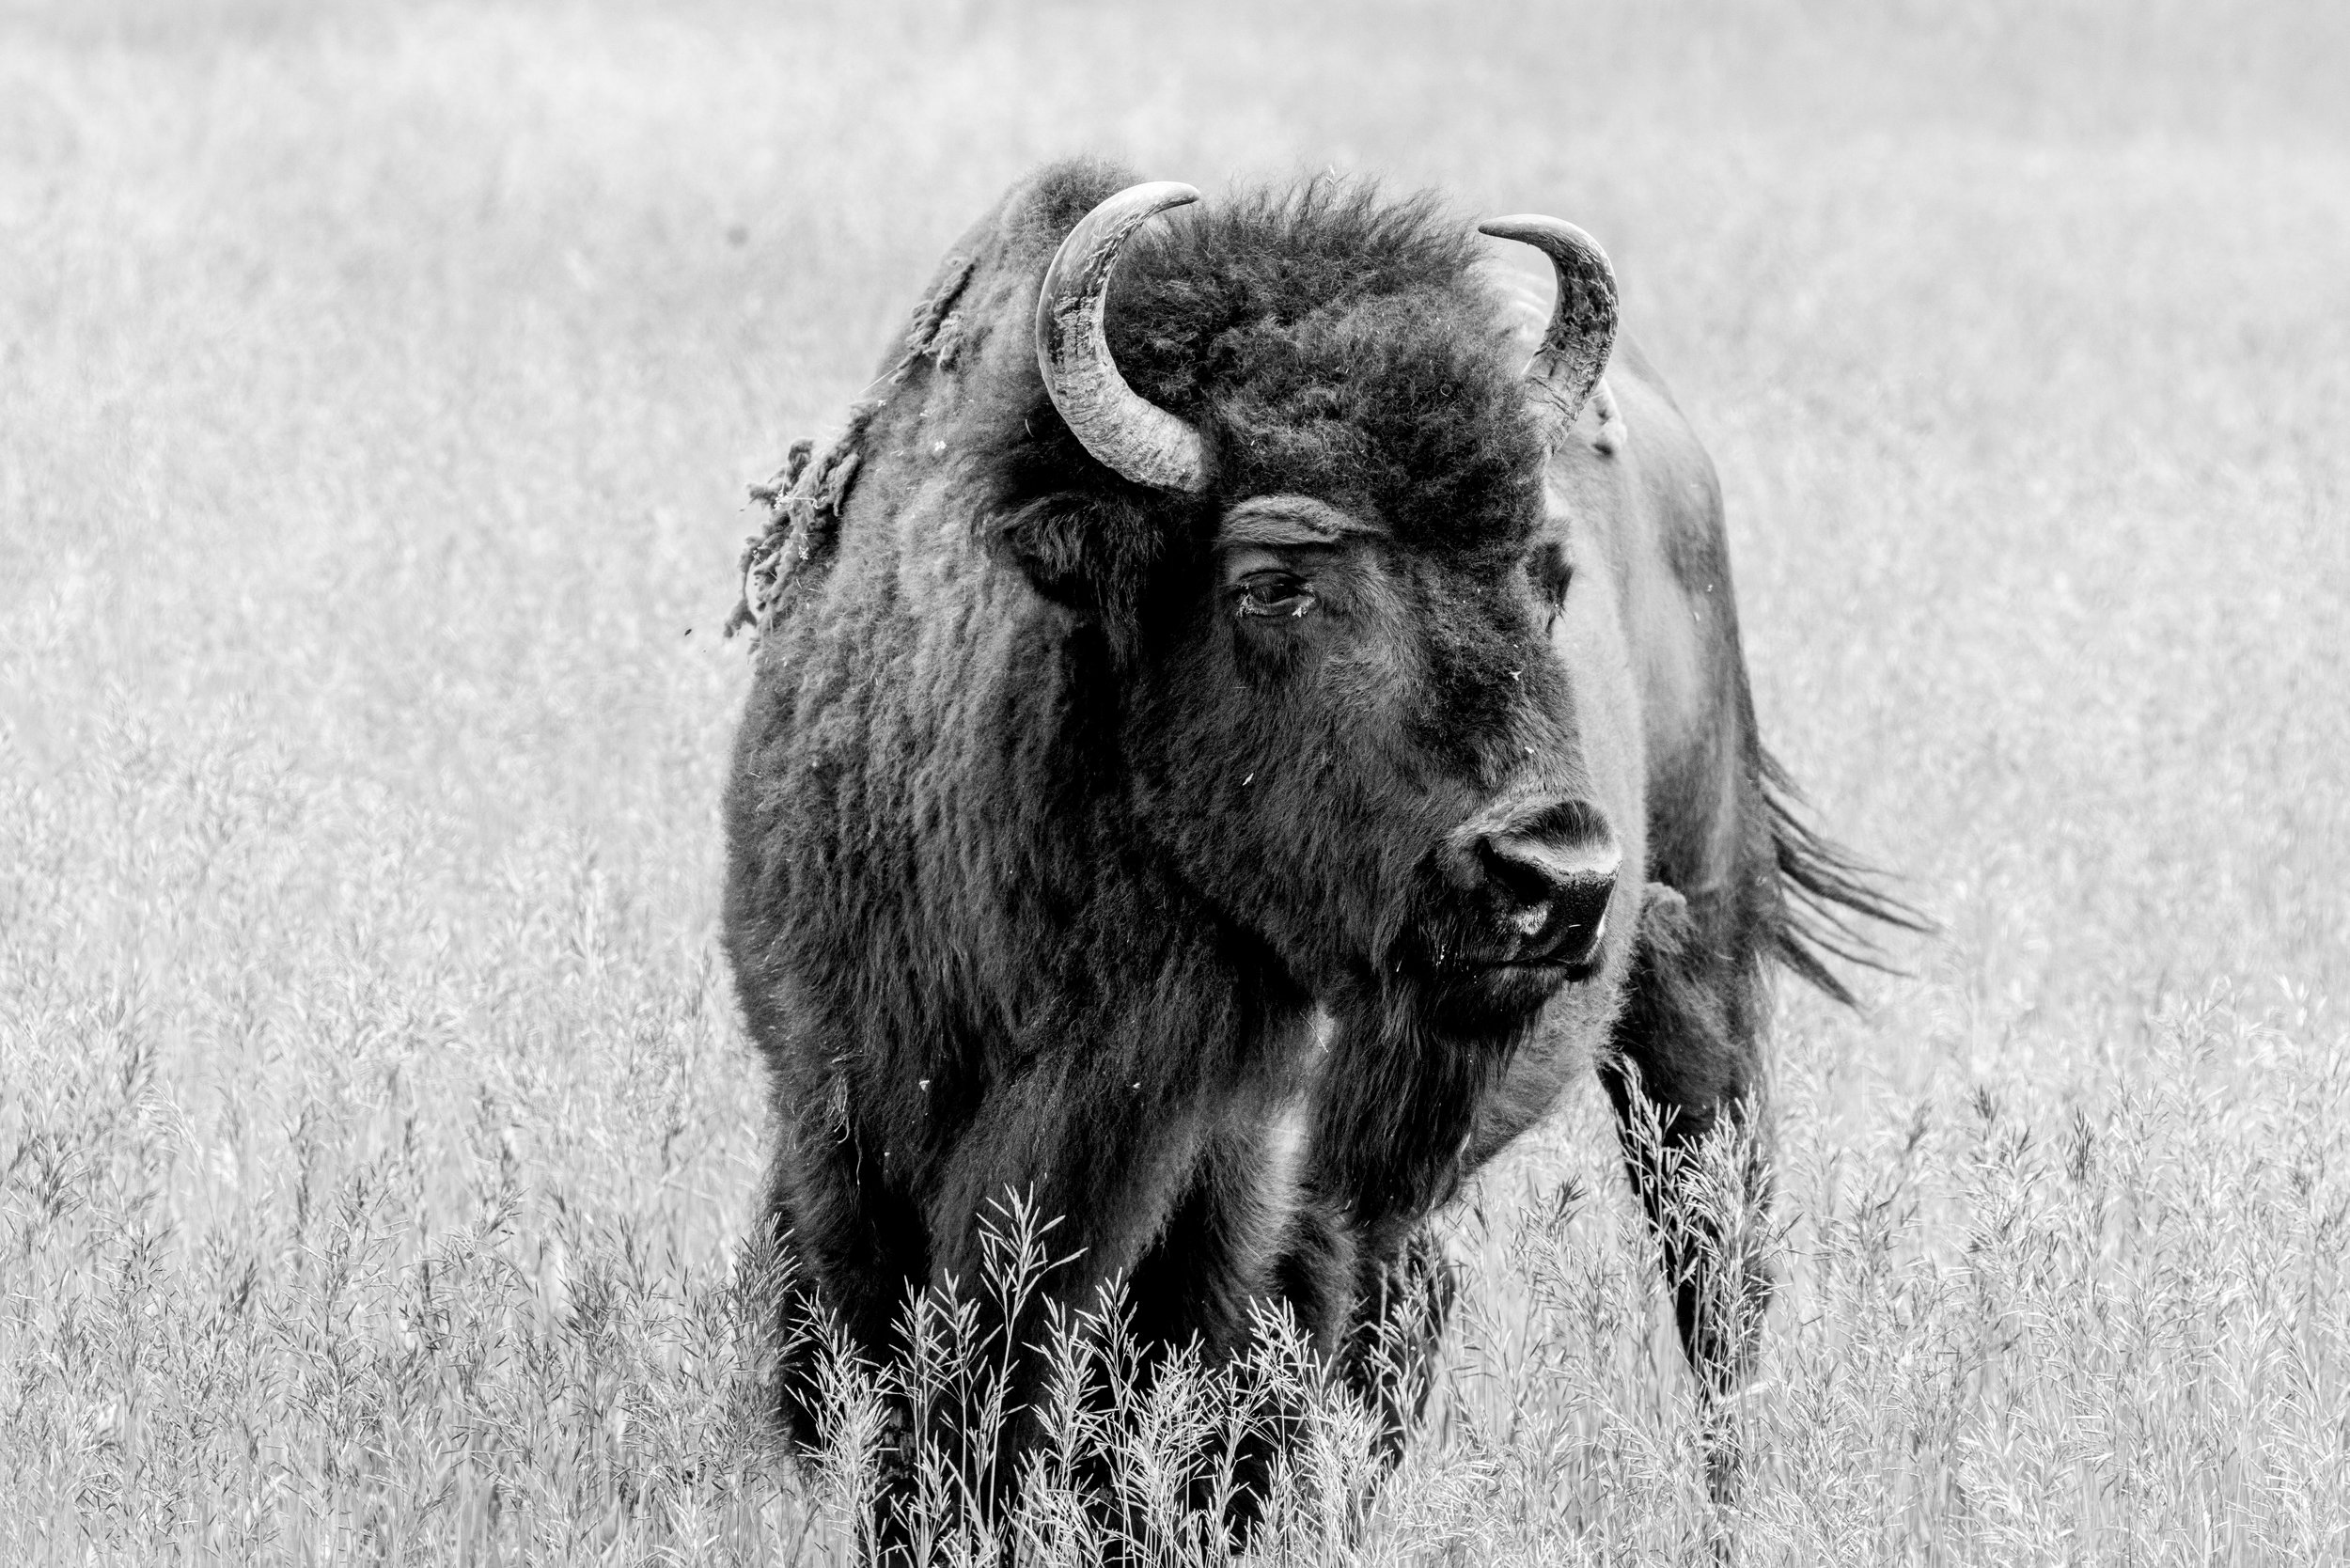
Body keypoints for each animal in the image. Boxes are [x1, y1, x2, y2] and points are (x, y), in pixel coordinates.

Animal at [722, 158, 1916, 1538]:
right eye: (1273, 581)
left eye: (1542, 571)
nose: (1554, 879)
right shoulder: (837, 1136)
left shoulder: (1245, 1200)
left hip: (1697, 994)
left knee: (1716, 1275)